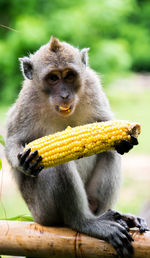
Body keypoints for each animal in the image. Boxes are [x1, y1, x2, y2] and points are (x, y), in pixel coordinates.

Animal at [5, 36, 148, 258]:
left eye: (70, 76)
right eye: (53, 78)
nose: (64, 95)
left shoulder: (91, 84)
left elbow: (106, 124)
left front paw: (124, 140)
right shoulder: (27, 100)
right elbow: (12, 140)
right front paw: (23, 162)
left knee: (108, 153)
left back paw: (111, 215)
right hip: (42, 212)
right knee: (59, 166)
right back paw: (83, 222)